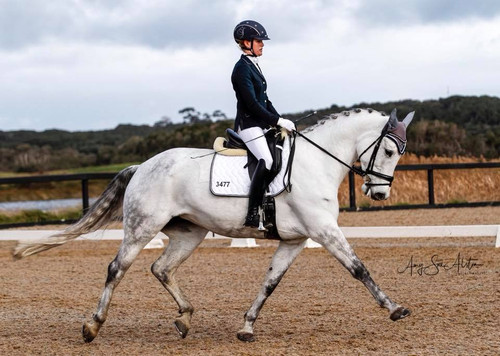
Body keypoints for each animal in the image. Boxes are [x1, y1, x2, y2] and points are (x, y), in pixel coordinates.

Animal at [14, 108, 414, 342]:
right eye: (388, 151)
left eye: (400, 153)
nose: (379, 193)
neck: (315, 162)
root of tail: (142, 165)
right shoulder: (323, 231)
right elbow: (359, 269)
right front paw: (395, 309)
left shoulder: (296, 240)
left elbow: (270, 282)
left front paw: (247, 326)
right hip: (143, 226)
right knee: (117, 268)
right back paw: (92, 325)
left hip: (190, 232)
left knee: (161, 268)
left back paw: (185, 318)